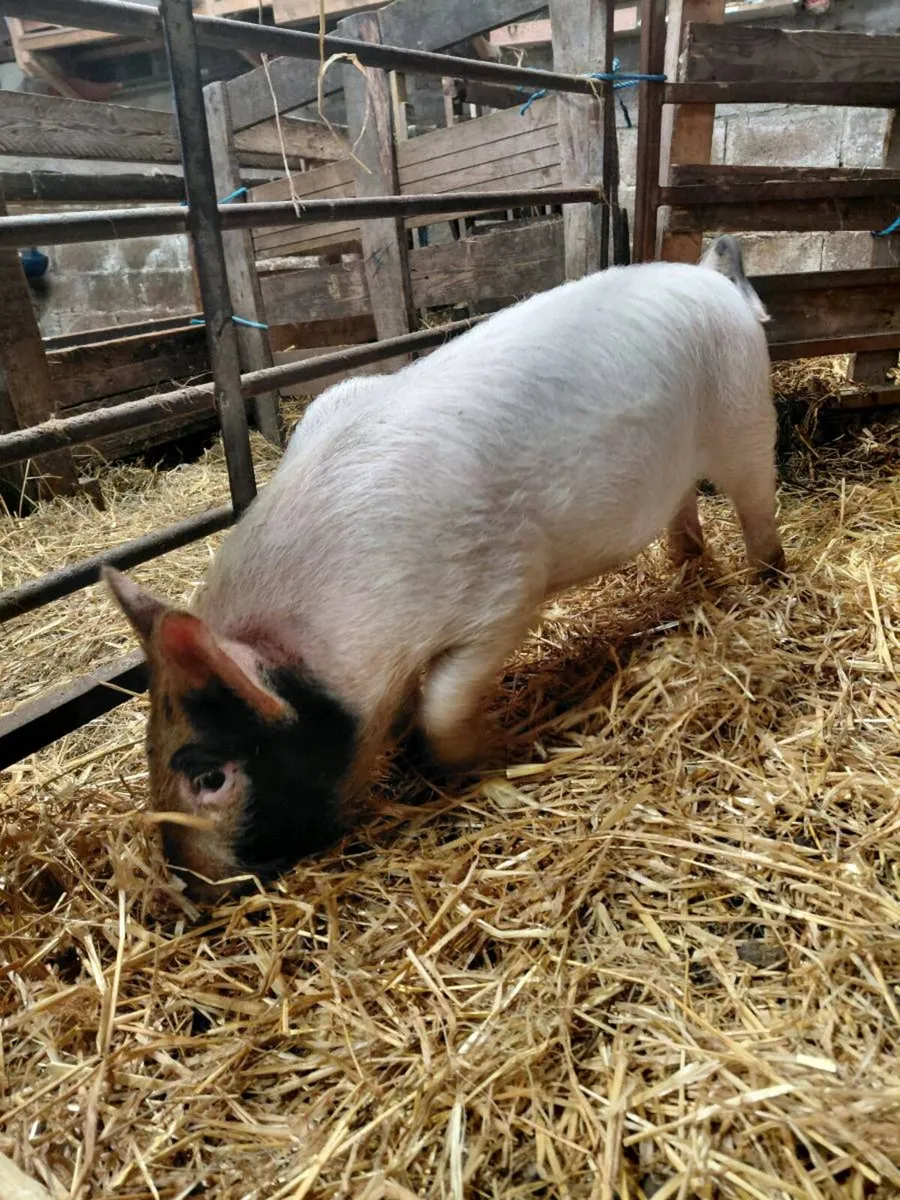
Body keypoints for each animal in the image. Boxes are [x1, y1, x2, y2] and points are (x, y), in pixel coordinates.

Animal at [104, 234, 784, 899]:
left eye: (208, 777)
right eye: (150, 746)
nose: (186, 889)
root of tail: (712, 279)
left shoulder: (504, 592)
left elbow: (442, 703)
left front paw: (487, 754)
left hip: (745, 418)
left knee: (757, 506)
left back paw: (765, 584)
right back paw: (686, 565)